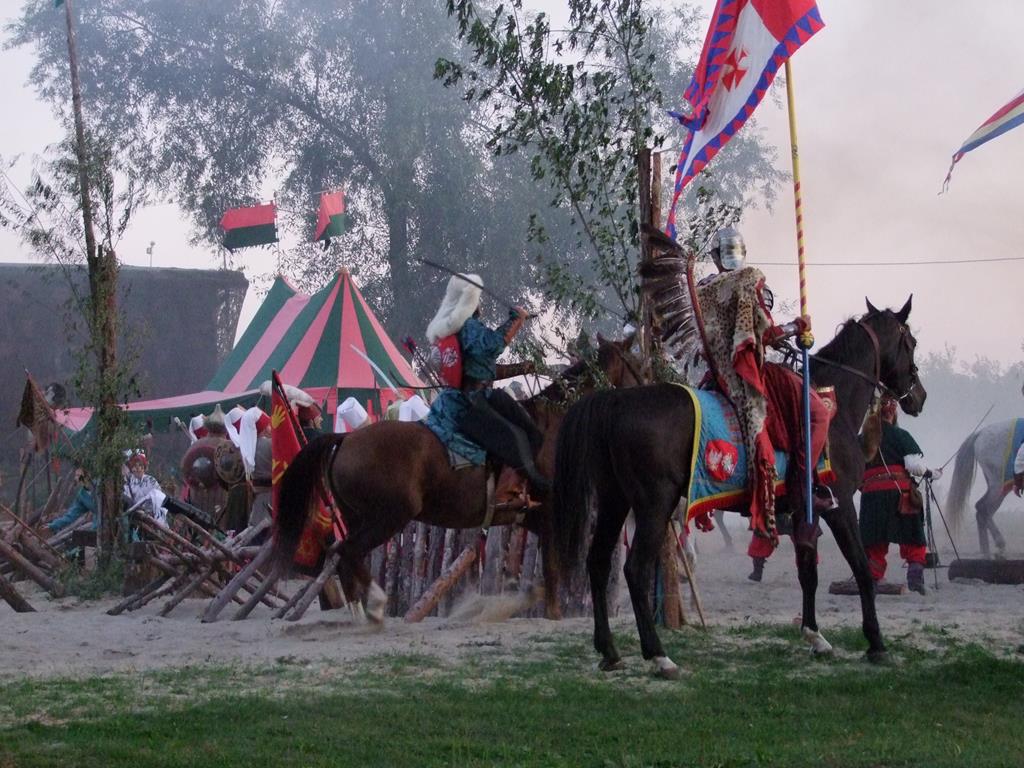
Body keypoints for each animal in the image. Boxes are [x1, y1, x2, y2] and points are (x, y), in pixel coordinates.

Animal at [272, 335, 643, 621]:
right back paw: (372, 608)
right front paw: (552, 612)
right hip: (388, 517)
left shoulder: (534, 517)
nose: (645, 389)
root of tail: (345, 439)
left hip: (358, 518)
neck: (555, 425)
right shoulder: (551, 514)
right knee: (348, 552)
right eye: (634, 361)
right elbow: (553, 571)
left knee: (344, 554)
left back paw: (359, 612)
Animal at [553, 298, 926, 677]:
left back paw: (609, 650)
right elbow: (862, 569)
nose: (919, 397)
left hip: (615, 501)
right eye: (910, 342)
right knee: (635, 569)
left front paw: (815, 636)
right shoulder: (841, 505)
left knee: (598, 562)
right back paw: (659, 655)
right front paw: (876, 642)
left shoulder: (805, 510)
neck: (831, 403)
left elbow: (808, 571)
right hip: (654, 504)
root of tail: (617, 402)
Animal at [947, 418, 1023, 557]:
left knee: (983, 511)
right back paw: (995, 547)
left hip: (1000, 486)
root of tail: (981, 433)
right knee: (982, 508)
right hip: (998, 484)